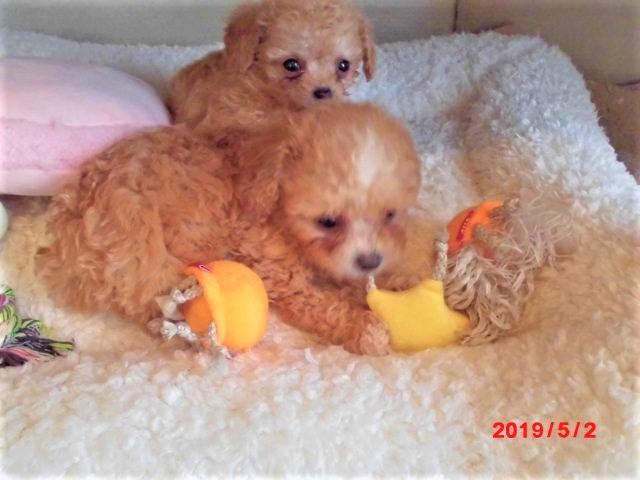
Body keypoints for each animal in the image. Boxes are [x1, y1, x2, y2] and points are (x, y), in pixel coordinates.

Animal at [37, 102, 420, 355]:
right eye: (327, 222)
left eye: (390, 215)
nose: (370, 260)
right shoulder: (275, 267)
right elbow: (321, 302)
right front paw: (365, 328)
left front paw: (399, 280)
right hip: (142, 256)